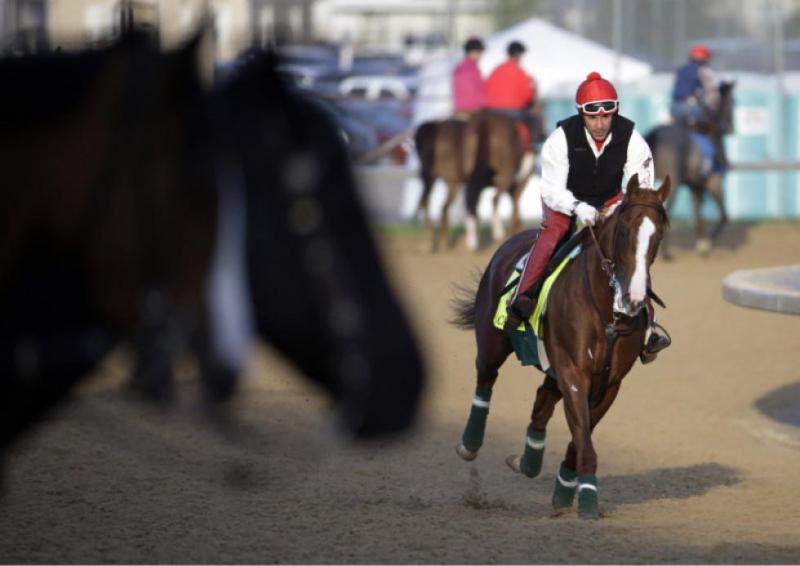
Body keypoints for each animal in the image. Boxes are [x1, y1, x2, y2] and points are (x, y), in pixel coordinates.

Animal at [412, 108, 544, 253]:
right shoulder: (520, 182)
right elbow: (515, 208)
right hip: (499, 175)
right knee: (491, 200)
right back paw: (494, 234)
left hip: (435, 178)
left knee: (436, 204)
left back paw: (437, 242)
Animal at [450, 176, 668, 520]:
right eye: (623, 231)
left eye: (657, 235)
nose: (633, 298)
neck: (607, 312)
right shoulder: (574, 373)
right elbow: (583, 436)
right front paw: (589, 500)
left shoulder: (609, 382)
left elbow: (581, 436)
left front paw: (566, 489)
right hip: (492, 342)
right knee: (485, 379)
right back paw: (469, 445)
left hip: (554, 369)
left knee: (542, 401)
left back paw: (527, 461)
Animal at [648, 80, 736, 258]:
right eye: (734, 102)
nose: (731, 128)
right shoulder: (713, 182)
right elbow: (724, 216)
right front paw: (708, 242)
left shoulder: (695, 186)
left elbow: (698, 214)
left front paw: (702, 243)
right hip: (673, 183)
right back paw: (665, 253)